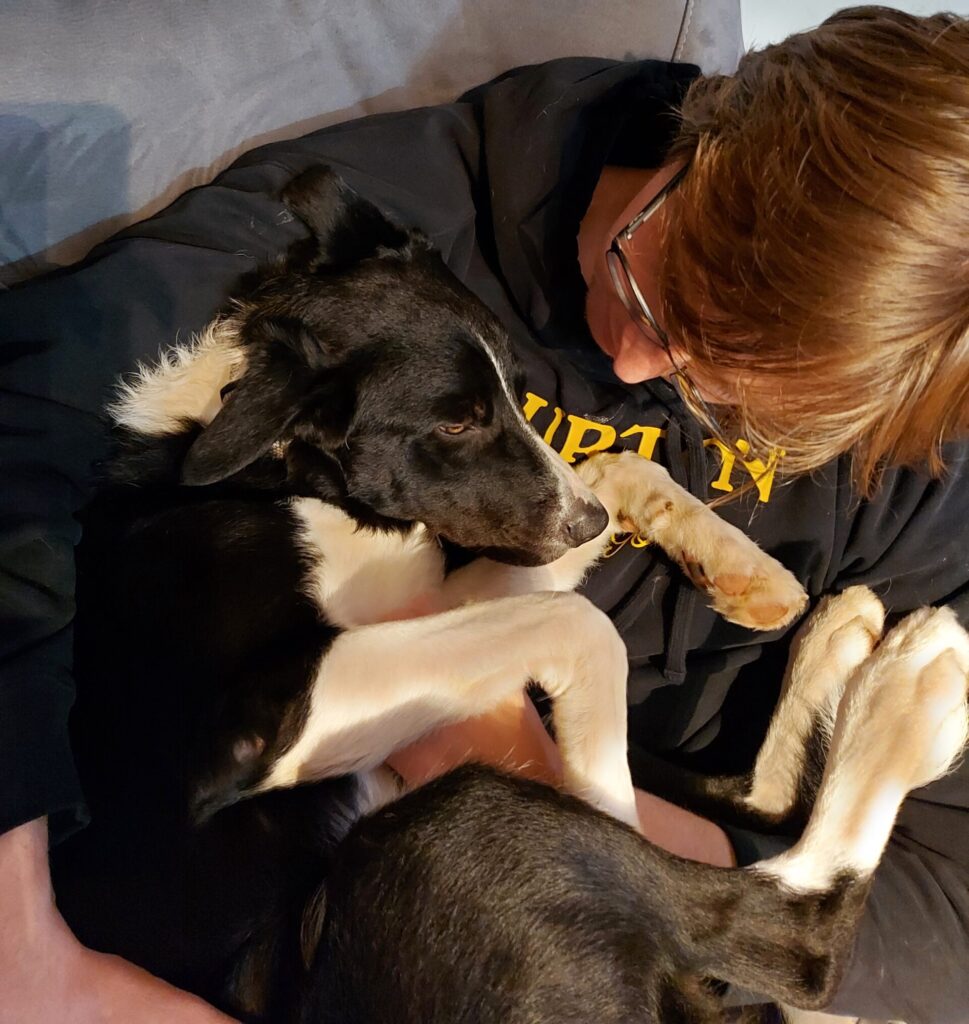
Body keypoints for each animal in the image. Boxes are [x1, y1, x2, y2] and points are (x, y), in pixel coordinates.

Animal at [52, 169, 966, 1024]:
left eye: (513, 395)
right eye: (454, 423)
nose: (583, 523)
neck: (277, 473)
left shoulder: (436, 591)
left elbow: (612, 473)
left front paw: (747, 573)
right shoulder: (252, 723)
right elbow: (578, 624)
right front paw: (595, 761)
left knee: (755, 815)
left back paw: (841, 638)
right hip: (441, 825)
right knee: (797, 938)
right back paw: (910, 686)